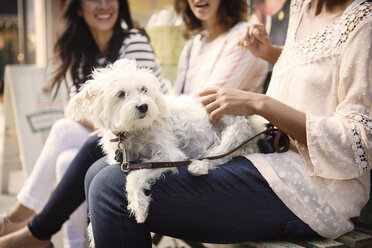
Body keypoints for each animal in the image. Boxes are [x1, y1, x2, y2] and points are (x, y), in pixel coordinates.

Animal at [64, 59, 262, 224]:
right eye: (120, 94)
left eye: (143, 89)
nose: (143, 106)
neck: (134, 130)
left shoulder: (169, 155)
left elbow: (134, 176)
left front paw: (139, 206)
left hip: (232, 128)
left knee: (221, 154)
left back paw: (199, 166)